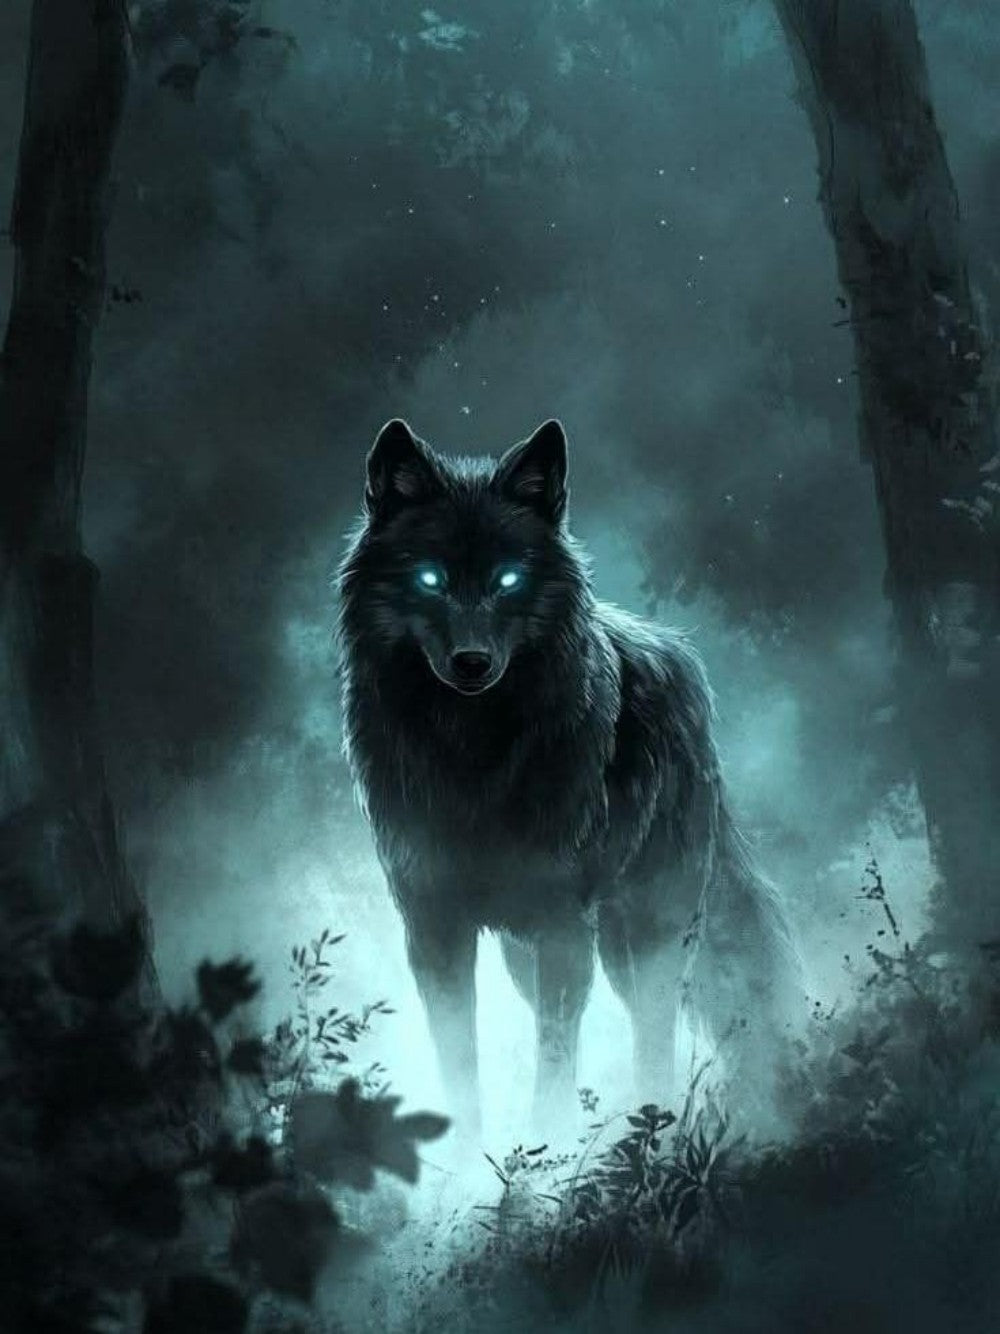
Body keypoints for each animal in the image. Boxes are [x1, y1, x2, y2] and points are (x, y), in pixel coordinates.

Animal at [338, 418, 801, 1136]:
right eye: (430, 578)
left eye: (507, 579)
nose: (472, 662)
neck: (471, 756)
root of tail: (685, 659)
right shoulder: (434, 926)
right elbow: (461, 1062)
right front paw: (467, 1152)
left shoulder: (561, 923)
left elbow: (554, 1058)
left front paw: (546, 1146)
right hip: (532, 949)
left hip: (645, 929)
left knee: (652, 1026)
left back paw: (653, 1121)